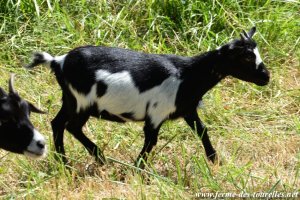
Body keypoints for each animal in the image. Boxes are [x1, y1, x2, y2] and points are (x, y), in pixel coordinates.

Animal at [25, 26, 270, 167]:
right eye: (247, 57)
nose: (266, 77)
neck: (187, 75)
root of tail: (58, 61)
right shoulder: (156, 113)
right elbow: (151, 140)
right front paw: (138, 168)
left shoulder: (187, 109)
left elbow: (202, 131)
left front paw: (215, 161)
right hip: (83, 102)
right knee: (72, 127)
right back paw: (100, 158)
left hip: (70, 100)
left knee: (57, 123)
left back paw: (63, 162)